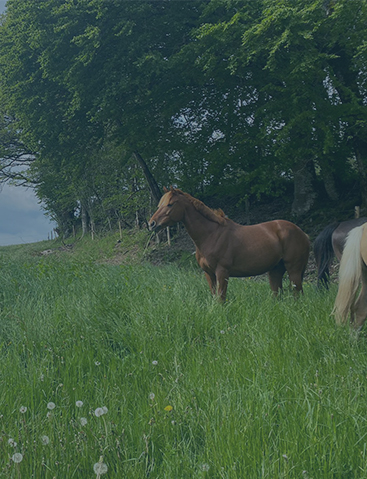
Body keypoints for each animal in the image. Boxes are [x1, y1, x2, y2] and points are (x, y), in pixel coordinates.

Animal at [149, 189, 310, 302]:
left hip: (294, 270)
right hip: (275, 270)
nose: (151, 224)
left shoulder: (222, 272)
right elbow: (214, 297)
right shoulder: (209, 274)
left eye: (170, 204)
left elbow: (221, 299)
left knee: (298, 294)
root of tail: (302, 233)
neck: (211, 235)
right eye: (159, 205)